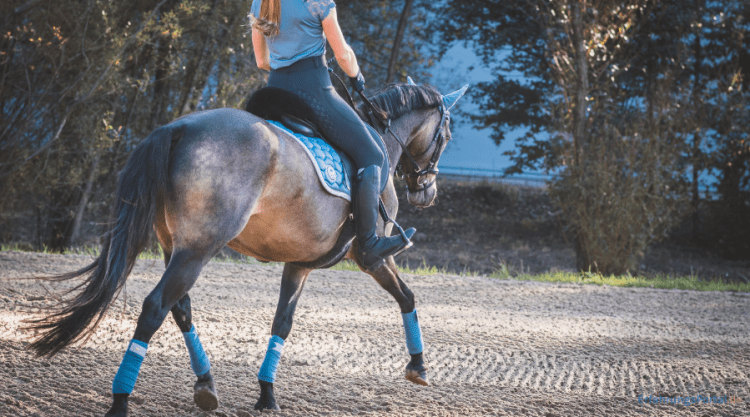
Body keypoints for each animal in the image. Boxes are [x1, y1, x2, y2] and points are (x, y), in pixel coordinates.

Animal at [24, 79, 468, 416]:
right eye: (446, 136)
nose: (427, 192)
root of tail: (181, 126)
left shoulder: (299, 263)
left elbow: (281, 323)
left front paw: (266, 394)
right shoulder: (370, 257)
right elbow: (407, 296)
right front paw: (419, 366)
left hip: (177, 246)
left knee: (179, 309)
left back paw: (206, 386)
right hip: (200, 248)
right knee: (155, 307)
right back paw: (121, 399)